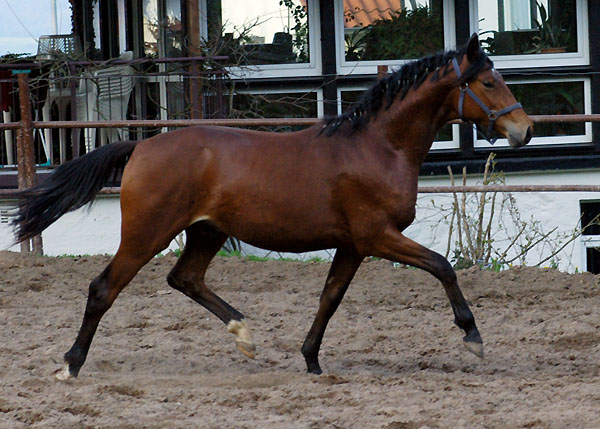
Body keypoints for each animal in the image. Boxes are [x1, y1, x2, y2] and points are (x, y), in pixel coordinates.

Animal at [12, 35, 528, 380]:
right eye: (487, 82)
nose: (524, 129)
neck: (377, 146)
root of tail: (141, 146)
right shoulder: (377, 236)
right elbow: (442, 266)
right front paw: (473, 338)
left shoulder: (353, 245)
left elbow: (329, 298)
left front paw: (312, 359)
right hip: (147, 233)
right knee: (104, 288)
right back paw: (71, 365)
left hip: (207, 231)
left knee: (185, 278)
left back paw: (244, 335)